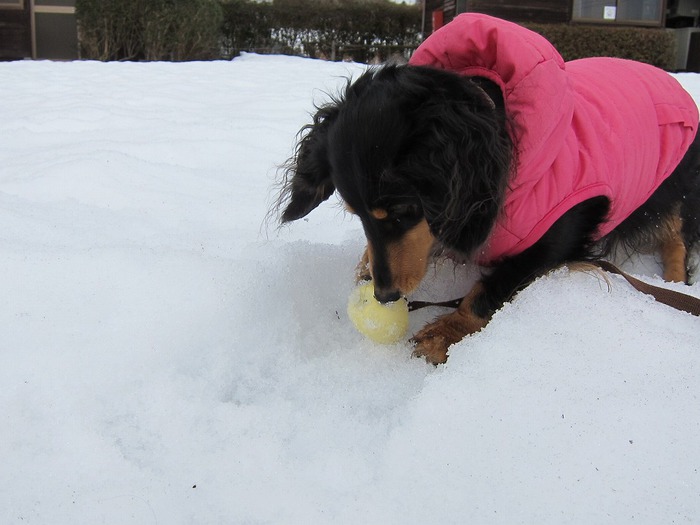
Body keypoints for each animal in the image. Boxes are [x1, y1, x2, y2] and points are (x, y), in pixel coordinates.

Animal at [276, 14, 700, 362]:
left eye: (403, 212)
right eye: (357, 215)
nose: (384, 295)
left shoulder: (562, 232)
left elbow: (492, 285)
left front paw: (447, 331)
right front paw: (364, 265)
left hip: (671, 189)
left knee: (677, 237)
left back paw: (673, 281)